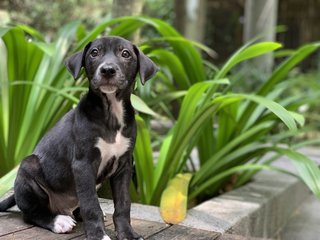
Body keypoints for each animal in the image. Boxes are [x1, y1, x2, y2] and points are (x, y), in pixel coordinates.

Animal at [0, 36, 158, 240]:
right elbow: (91, 205)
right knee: (32, 213)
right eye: (94, 53)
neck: (111, 114)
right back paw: (58, 221)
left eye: (125, 54)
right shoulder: (84, 164)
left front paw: (127, 233)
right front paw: (98, 235)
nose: (107, 70)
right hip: (29, 166)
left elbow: (123, 204)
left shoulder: (124, 166)